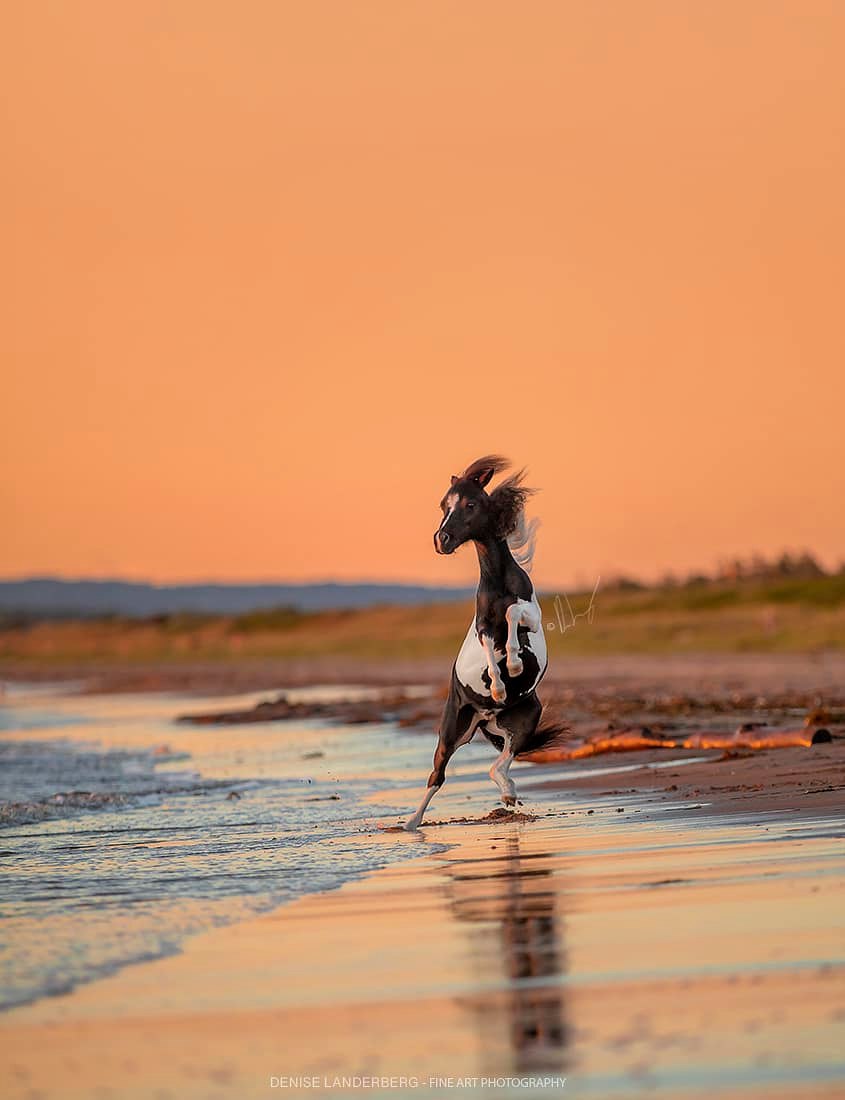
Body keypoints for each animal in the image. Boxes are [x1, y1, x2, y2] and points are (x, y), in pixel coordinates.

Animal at [405, 455, 563, 830]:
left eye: (470, 504)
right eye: (443, 505)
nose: (441, 539)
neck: (499, 582)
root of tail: (484, 717)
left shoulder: (531, 615)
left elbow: (513, 615)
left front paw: (516, 664)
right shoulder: (482, 629)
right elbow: (492, 645)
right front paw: (499, 684)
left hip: (524, 720)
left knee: (502, 762)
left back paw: (508, 793)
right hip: (451, 733)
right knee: (437, 776)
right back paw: (410, 823)